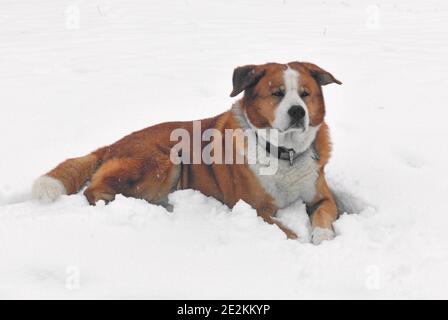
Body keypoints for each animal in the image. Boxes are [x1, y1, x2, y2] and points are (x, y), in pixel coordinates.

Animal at [32, 61, 340, 244]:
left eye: (305, 94)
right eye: (277, 93)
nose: (298, 112)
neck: (284, 154)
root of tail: (112, 145)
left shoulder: (322, 197)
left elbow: (324, 215)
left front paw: (323, 239)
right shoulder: (253, 208)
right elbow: (284, 231)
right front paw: (298, 239)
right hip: (163, 161)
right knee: (93, 191)